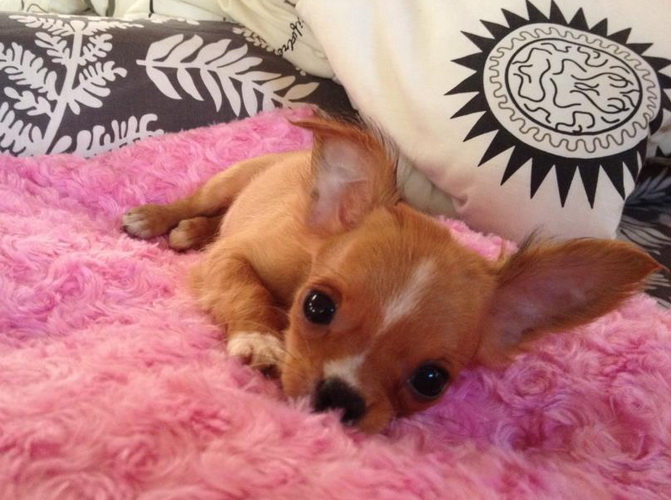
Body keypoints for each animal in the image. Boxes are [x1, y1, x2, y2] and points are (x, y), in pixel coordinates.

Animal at [123, 116, 660, 433]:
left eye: (431, 380)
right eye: (316, 306)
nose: (340, 398)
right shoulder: (232, 259)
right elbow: (244, 289)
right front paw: (259, 338)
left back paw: (190, 231)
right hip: (228, 180)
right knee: (198, 200)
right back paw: (159, 218)